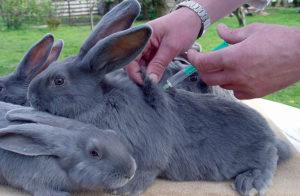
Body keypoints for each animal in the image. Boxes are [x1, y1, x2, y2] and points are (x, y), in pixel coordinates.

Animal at [26, 0, 292, 195]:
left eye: (58, 81)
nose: (30, 95)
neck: (100, 100)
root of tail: (271, 137)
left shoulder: (148, 155)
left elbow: (144, 171)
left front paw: (125, 190)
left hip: (262, 154)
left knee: (269, 161)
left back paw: (250, 183)